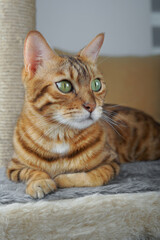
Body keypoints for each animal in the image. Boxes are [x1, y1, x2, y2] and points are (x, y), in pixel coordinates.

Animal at [6, 30, 160, 199]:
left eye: (96, 84)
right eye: (64, 85)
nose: (92, 106)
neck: (59, 135)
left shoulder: (111, 162)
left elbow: (93, 177)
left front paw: (61, 178)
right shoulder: (13, 166)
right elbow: (32, 171)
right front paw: (39, 182)